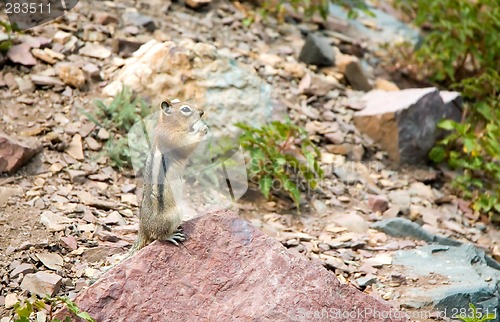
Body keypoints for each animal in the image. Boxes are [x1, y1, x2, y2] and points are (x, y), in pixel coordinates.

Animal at [132, 99, 208, 250]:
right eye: (185, 109)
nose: (202, 112)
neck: (167, 125)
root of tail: (143, 228)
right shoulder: (173, 139)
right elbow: (187, 145)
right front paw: (202, 129)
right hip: (173, 215)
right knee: (158, 236)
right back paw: (172, 236)